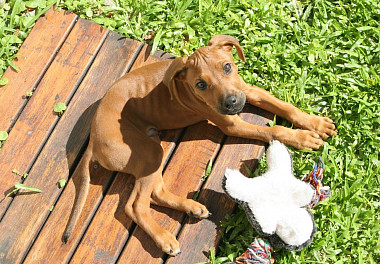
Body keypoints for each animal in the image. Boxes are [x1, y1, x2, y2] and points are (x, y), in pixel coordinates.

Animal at [63, 35, 336, 256]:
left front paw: (315, 123)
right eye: (201, 85)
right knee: (135, 206)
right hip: (148, 153)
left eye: (227, 67)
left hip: (151, 151)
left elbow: (285, 107)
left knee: (155, 193)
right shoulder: (231, 125)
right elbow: (273, 130)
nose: (232, 102)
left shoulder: (248, 90)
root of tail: (93, 140)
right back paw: (164, 239)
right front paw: (302, 138)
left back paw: (192, 208)